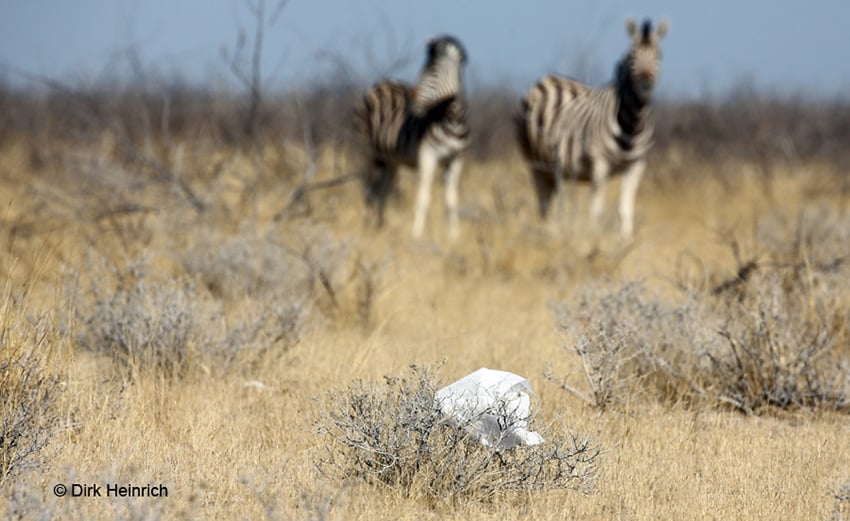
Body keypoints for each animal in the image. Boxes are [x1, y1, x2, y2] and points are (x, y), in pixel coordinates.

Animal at [352, 35, 470, 239]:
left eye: (434, 74)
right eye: (423, 70)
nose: (412, 99)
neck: (452, 121)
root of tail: (380, 84)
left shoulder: (455, 160)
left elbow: (451, 201)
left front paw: (454, 237)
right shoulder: (428, 156)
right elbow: (423, 198)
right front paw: (417, 236)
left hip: (390, 160)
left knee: (383, 190)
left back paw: (380, 227)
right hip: (366, 151)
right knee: (368, 189)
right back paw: (366, 227)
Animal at [512, 18, 664, 240]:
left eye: (659, 55)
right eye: (632, 56)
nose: (645, 81)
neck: (632, 125)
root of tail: (544, 79)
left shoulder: (637, 164)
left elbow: (625, 209)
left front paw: (626, 241)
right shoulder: (599, 164)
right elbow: (597, 209)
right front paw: (595, 238)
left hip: (554, 166)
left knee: (551, 199)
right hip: (535, 161)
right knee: (544, 201)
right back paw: (548, 231)